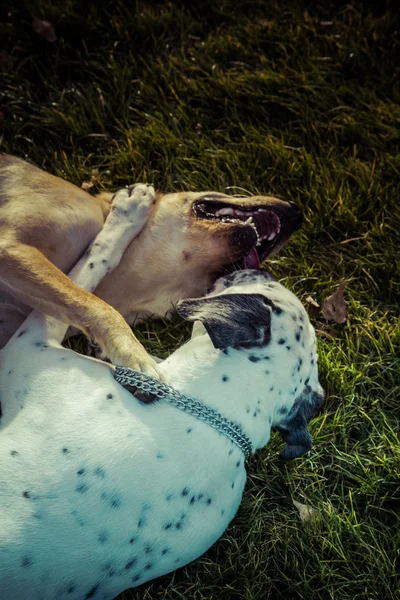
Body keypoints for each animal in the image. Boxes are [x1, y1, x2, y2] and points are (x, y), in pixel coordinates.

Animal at [0, 183, 324, 600]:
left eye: (268, 288)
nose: (262, 267)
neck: (217, 408)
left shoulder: (28, 345)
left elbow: (89, 274)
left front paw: (127, 213)